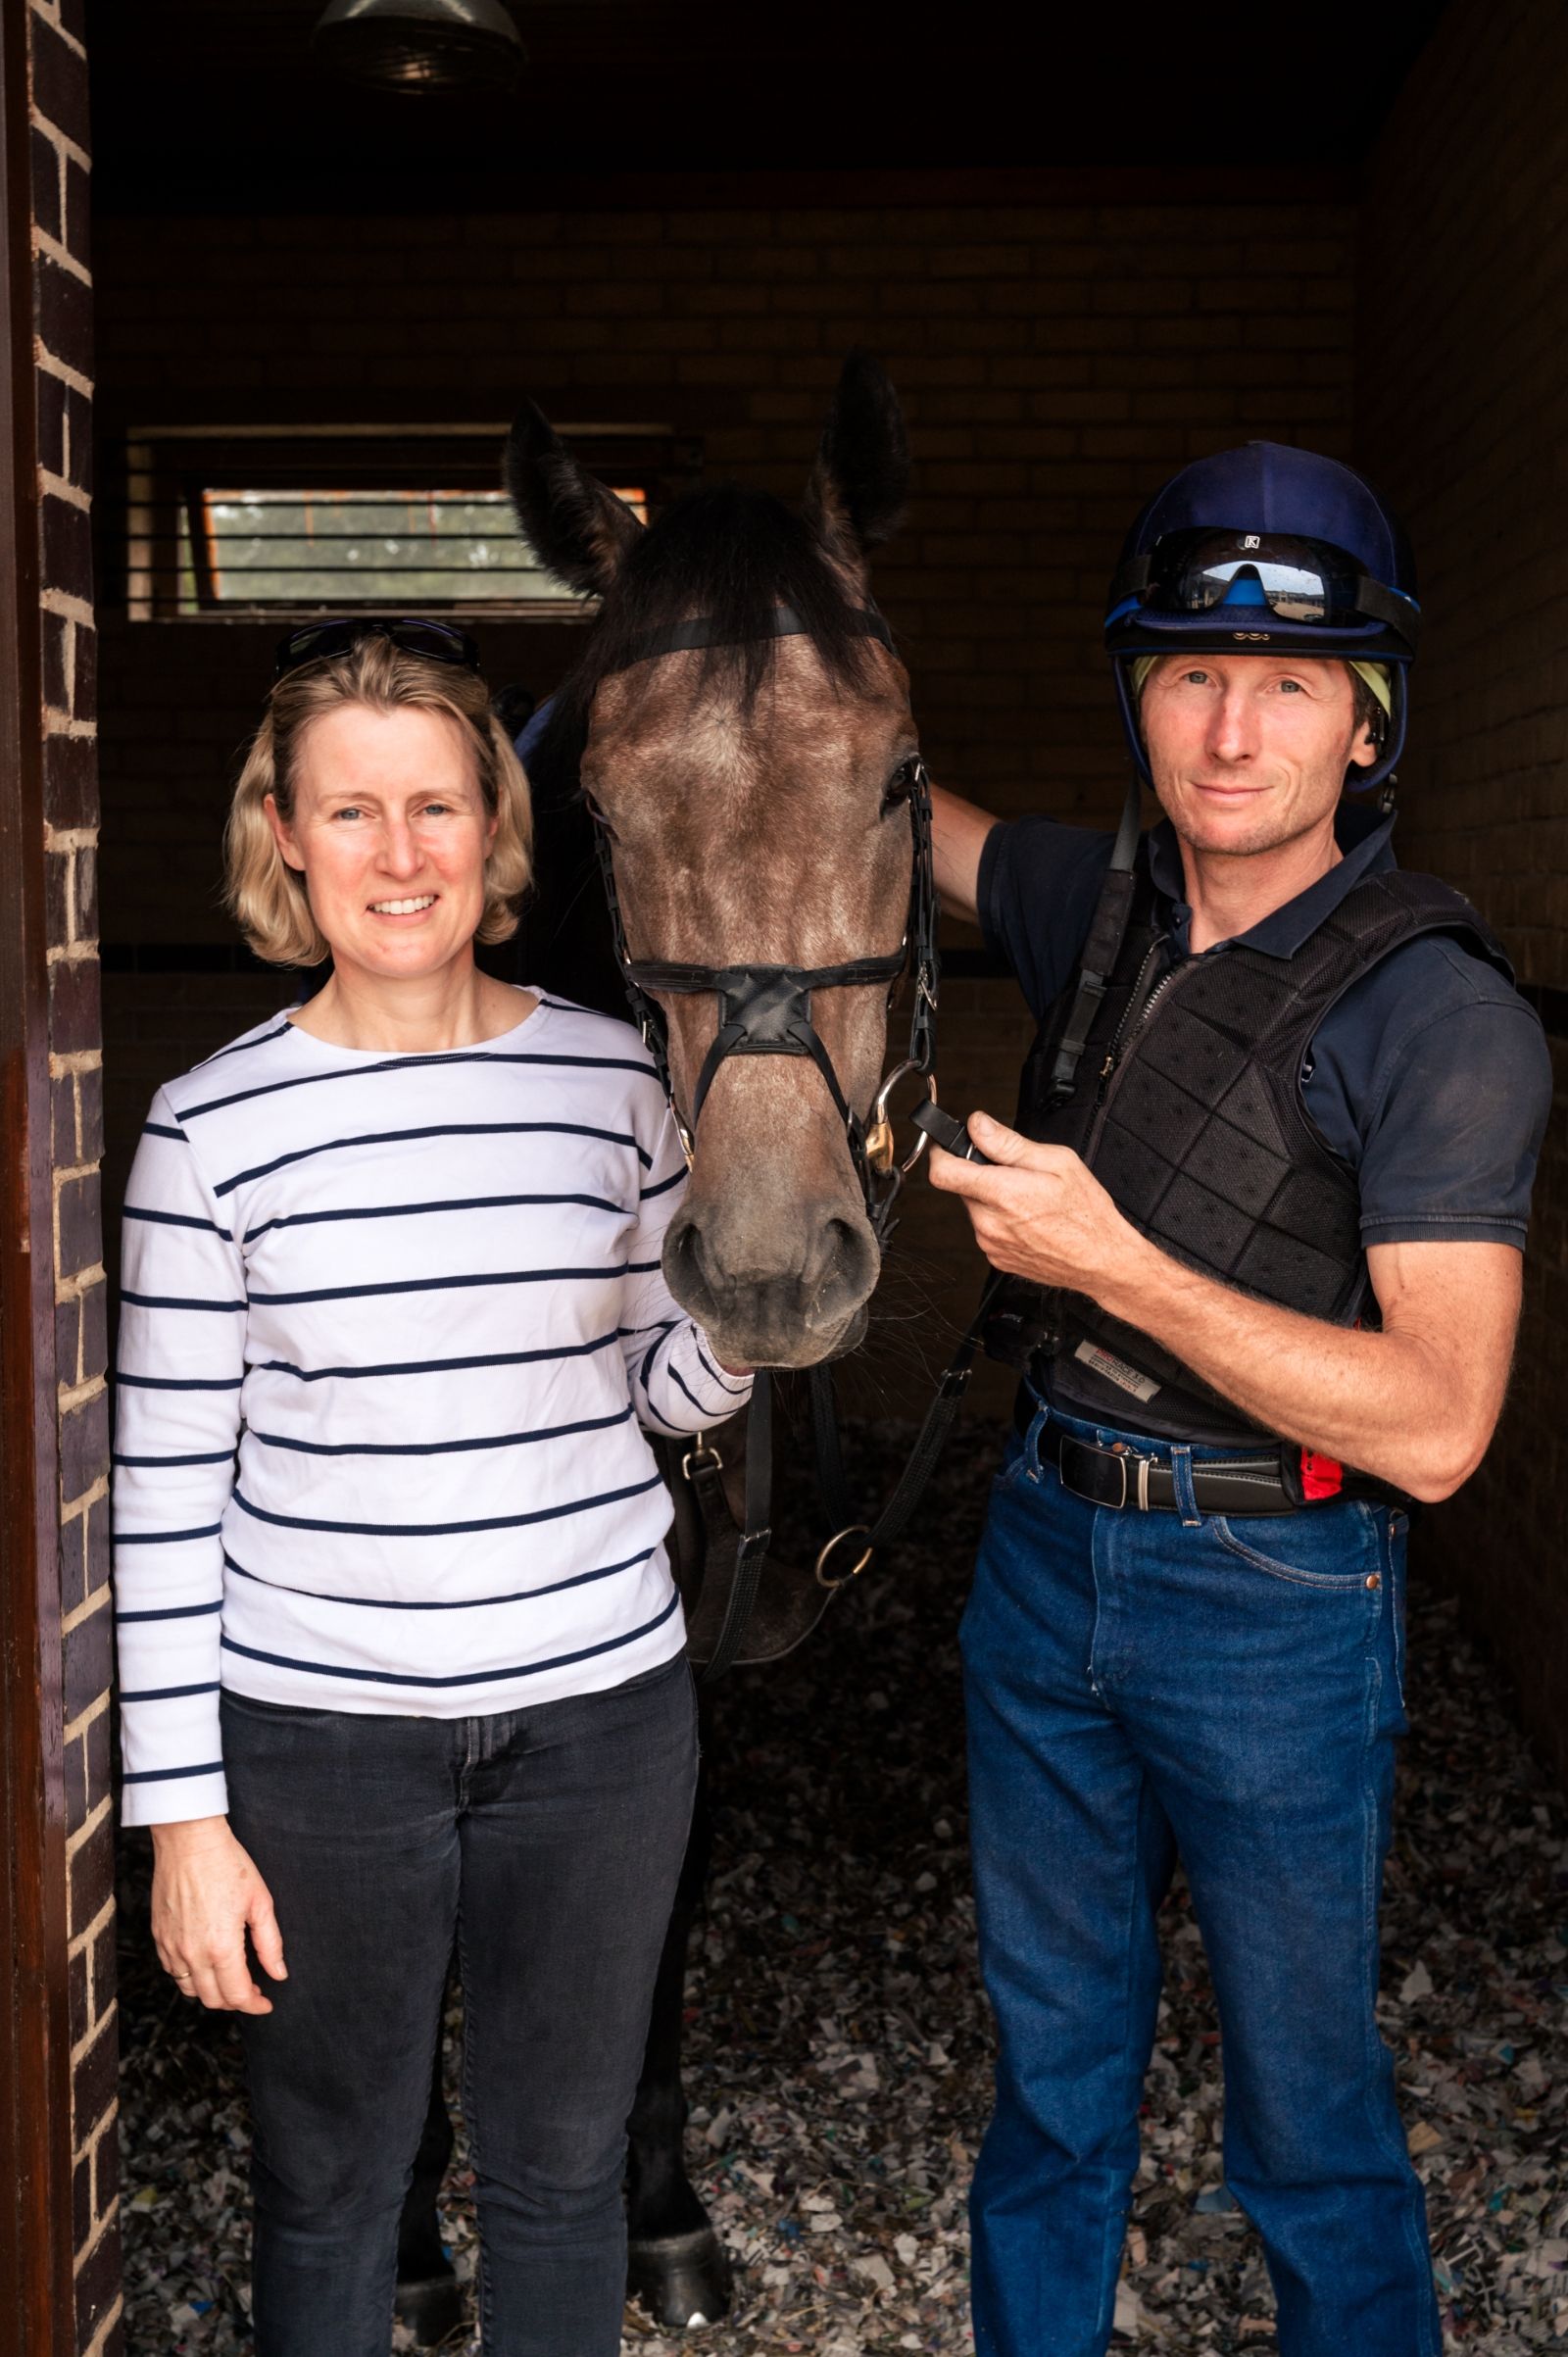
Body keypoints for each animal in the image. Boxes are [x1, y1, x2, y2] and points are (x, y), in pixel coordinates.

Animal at [393, 352, 930, 2343]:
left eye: (900, 775)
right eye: (606, 812)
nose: (768, 1269)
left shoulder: (686, 1641)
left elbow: (659, 1900)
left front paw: (664, 2206)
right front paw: (415, 2235)